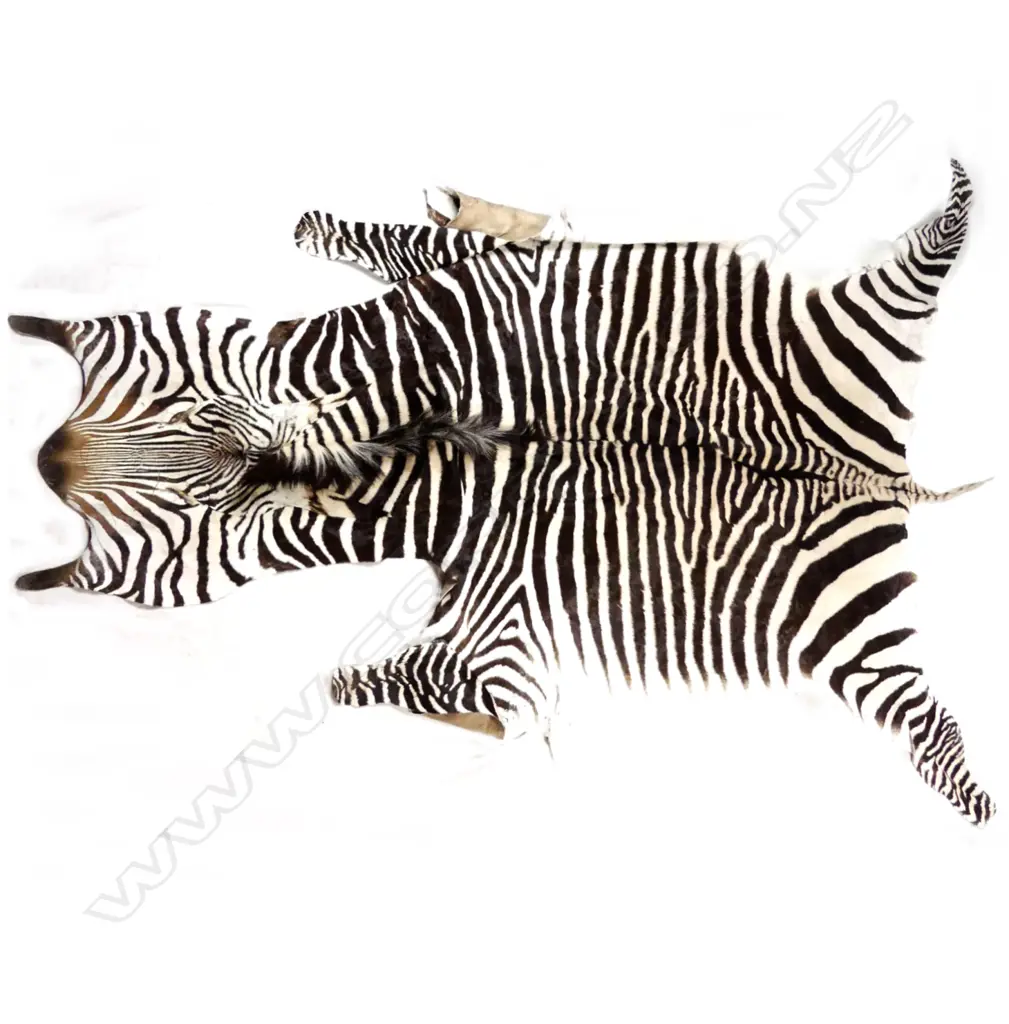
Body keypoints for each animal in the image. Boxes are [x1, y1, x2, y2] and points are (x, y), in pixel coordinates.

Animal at [9, 159, 993, 823]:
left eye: (177, 406)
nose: (43, 461)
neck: (411, 452)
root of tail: (878, 470)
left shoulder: (471, 305)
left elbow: (358, 234)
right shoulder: (494, 638)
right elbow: (443, 696)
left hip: (846, 581)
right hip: (845, 594)